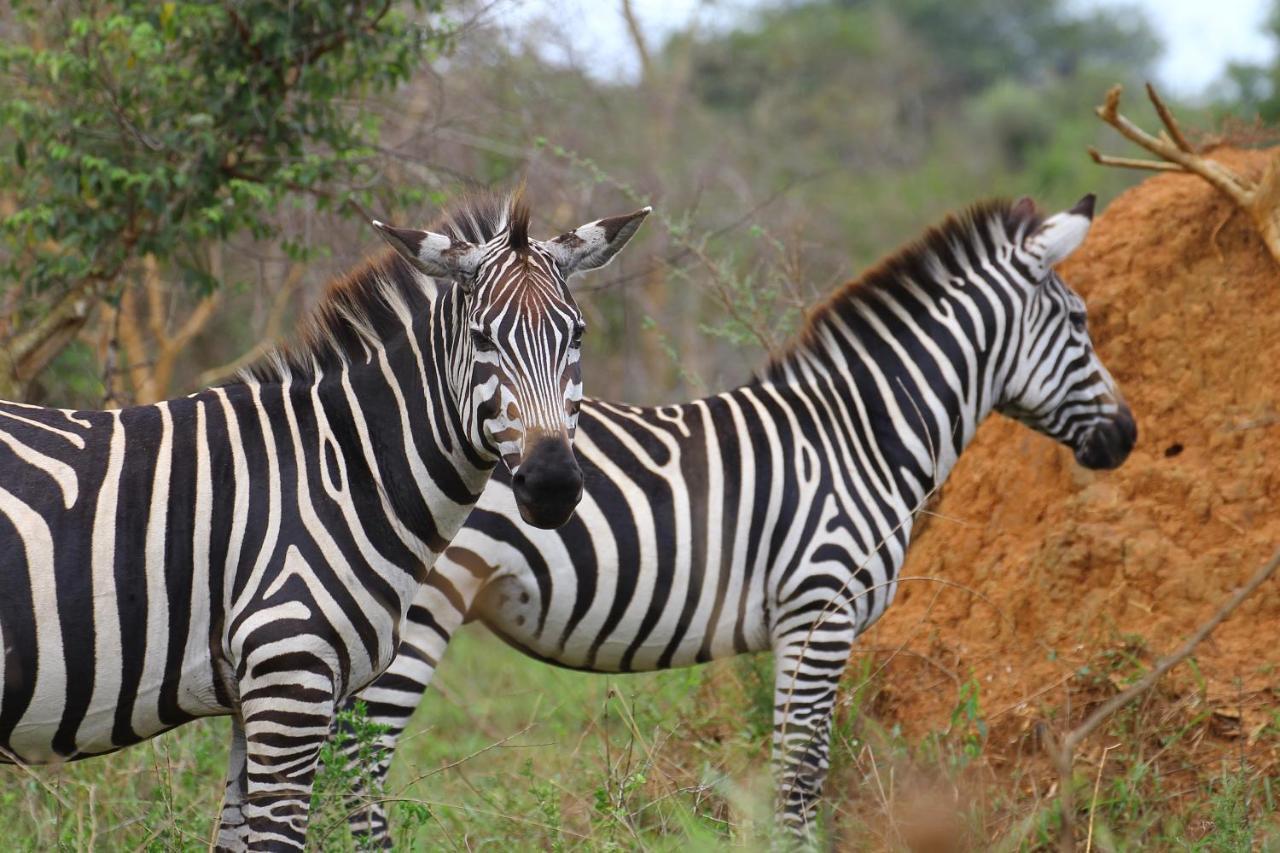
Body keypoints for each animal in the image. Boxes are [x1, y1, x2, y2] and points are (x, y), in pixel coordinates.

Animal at [0, 189, 650, 845]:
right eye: (482, 338)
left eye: (577, 336)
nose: (552, 484)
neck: (342, 470)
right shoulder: (291, 680)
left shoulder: (252, 699)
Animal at [335, 190, 1136, 835]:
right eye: (1079, 320)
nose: (1127, 437)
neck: (861, 436)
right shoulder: (821, 608)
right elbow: (803, 776)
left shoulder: (796, 627)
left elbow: (784, 767)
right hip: (416, 614)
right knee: (357, 770)